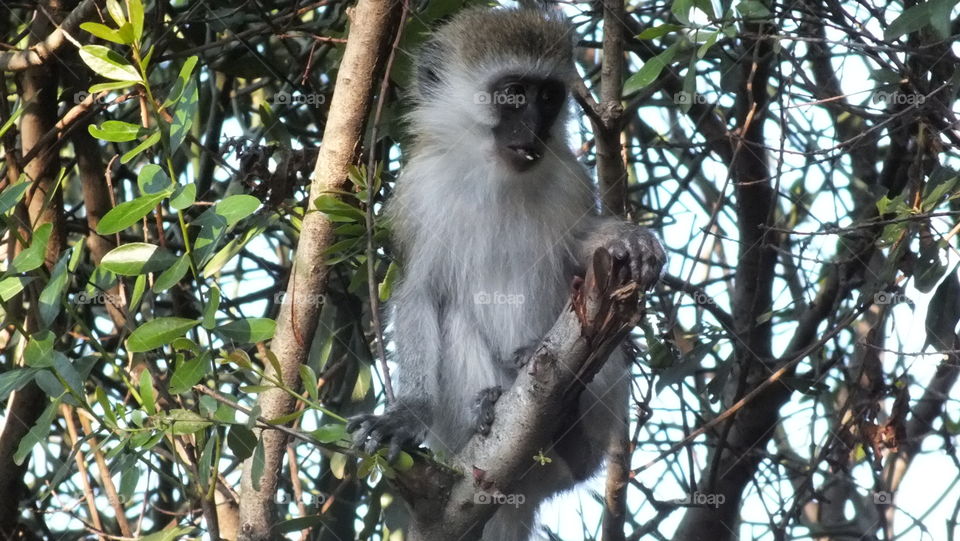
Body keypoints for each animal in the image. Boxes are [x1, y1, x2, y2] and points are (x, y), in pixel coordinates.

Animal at [347, 6, 666, 540]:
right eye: (514, 92)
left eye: (549, 96)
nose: (535, 129)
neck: (495, 171)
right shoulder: (419, 192)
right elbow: (420, 294)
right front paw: (409, 412)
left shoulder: (569, 178)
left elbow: (580, 247)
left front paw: (627, 238)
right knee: (454, 320)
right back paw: (492, 406)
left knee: (611, 354)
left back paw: (569, 431)